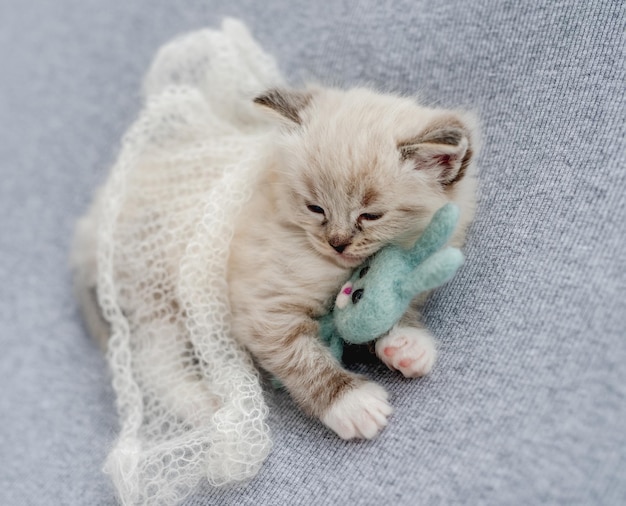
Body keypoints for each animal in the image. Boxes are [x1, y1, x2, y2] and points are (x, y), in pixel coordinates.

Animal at [229, 87, 478, 438]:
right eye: (315, 208)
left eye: (370, 216)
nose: (337, 242)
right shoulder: (265, 308)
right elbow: (305, 360)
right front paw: (352, 403)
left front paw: (407, 343)